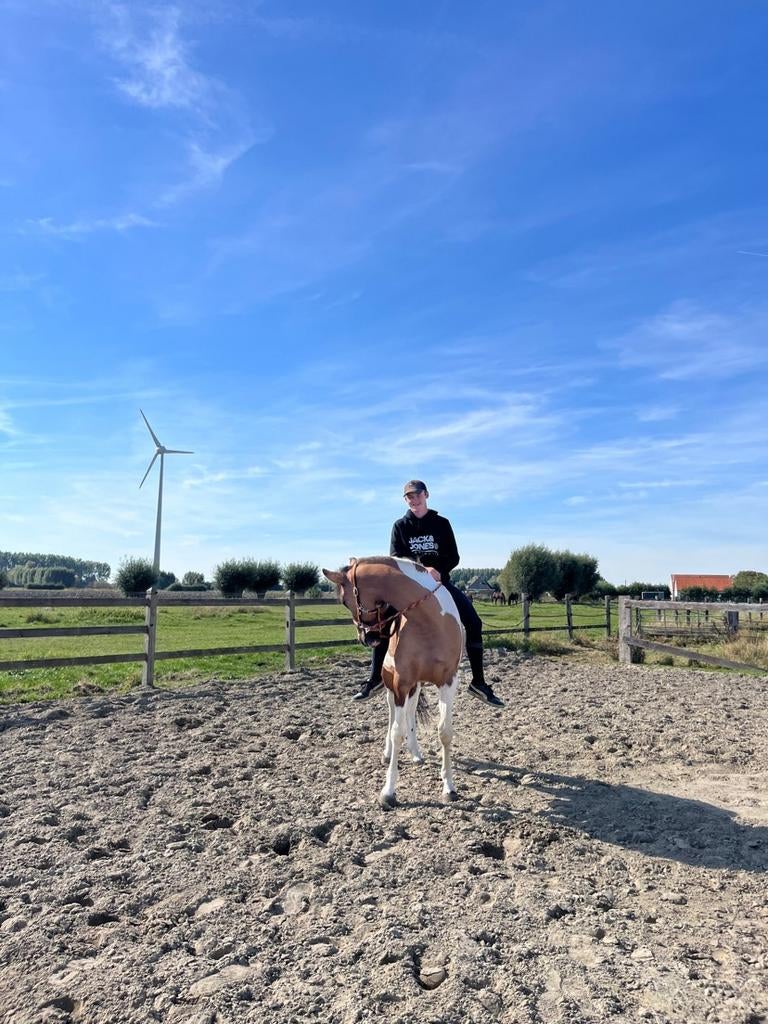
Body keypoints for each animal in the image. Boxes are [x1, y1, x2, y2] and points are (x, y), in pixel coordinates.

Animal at [322, 556, 465, 808]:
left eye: (345, 601)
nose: (366, 638)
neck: (429, 622)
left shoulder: (448, 682)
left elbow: (445, 732)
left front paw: (449, 787)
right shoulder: (400, 683)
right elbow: (397, 731)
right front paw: (388, 792)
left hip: (416, 686)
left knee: (410, 712)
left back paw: (416, 753)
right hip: (393, 686)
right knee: (392, 716)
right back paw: (388, 753)